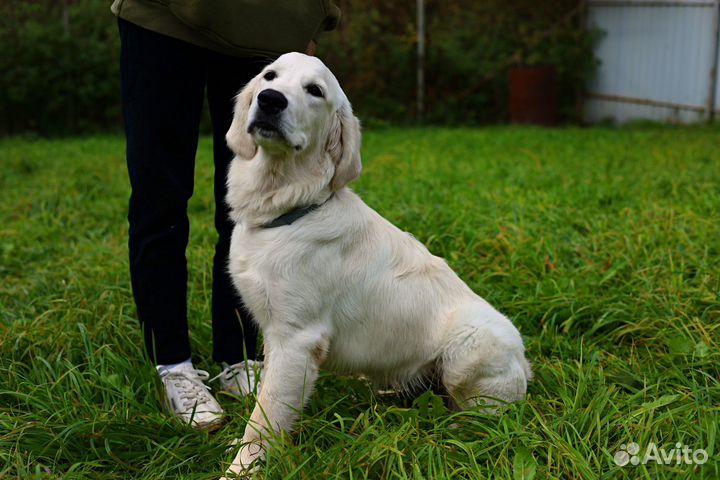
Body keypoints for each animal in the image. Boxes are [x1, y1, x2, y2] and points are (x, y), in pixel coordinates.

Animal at [222, 53, 532, 476]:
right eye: (270, 76)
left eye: (314, 90)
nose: (270, 100)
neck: (288, 210)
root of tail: (526, 365)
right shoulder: (275, 334)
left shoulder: (297, 337)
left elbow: (264, 416)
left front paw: (241, 468)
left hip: (469, 346)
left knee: (483, 417)